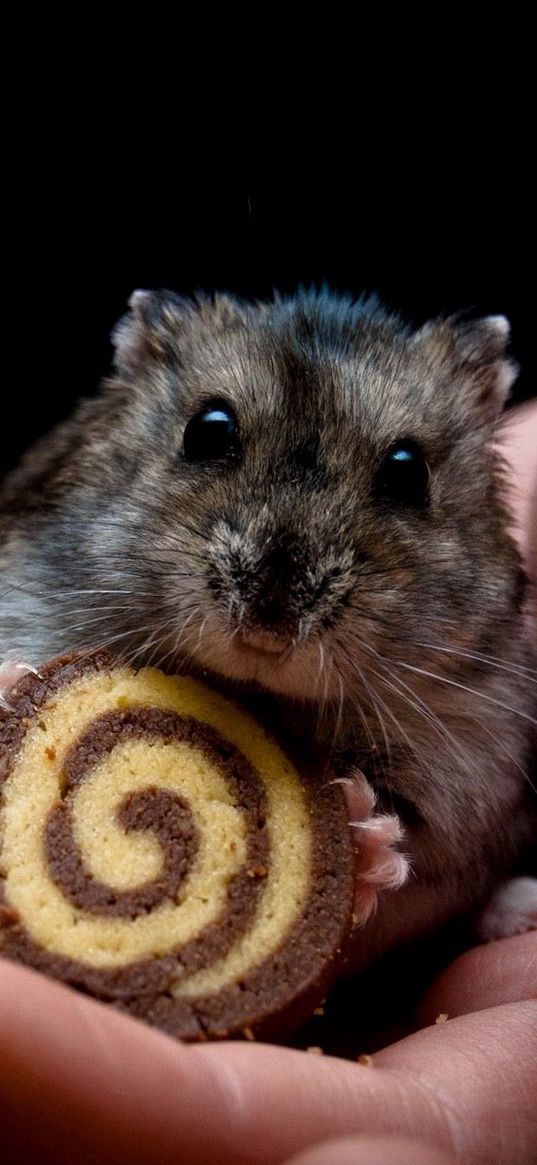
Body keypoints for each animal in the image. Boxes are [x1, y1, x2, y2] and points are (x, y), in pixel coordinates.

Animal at [1, 288, 535, 964]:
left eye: (408, 471)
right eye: (208, 430)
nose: (269, 621)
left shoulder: (470, 766)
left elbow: (413, 840)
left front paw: (361, 830)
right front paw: (12, 682)